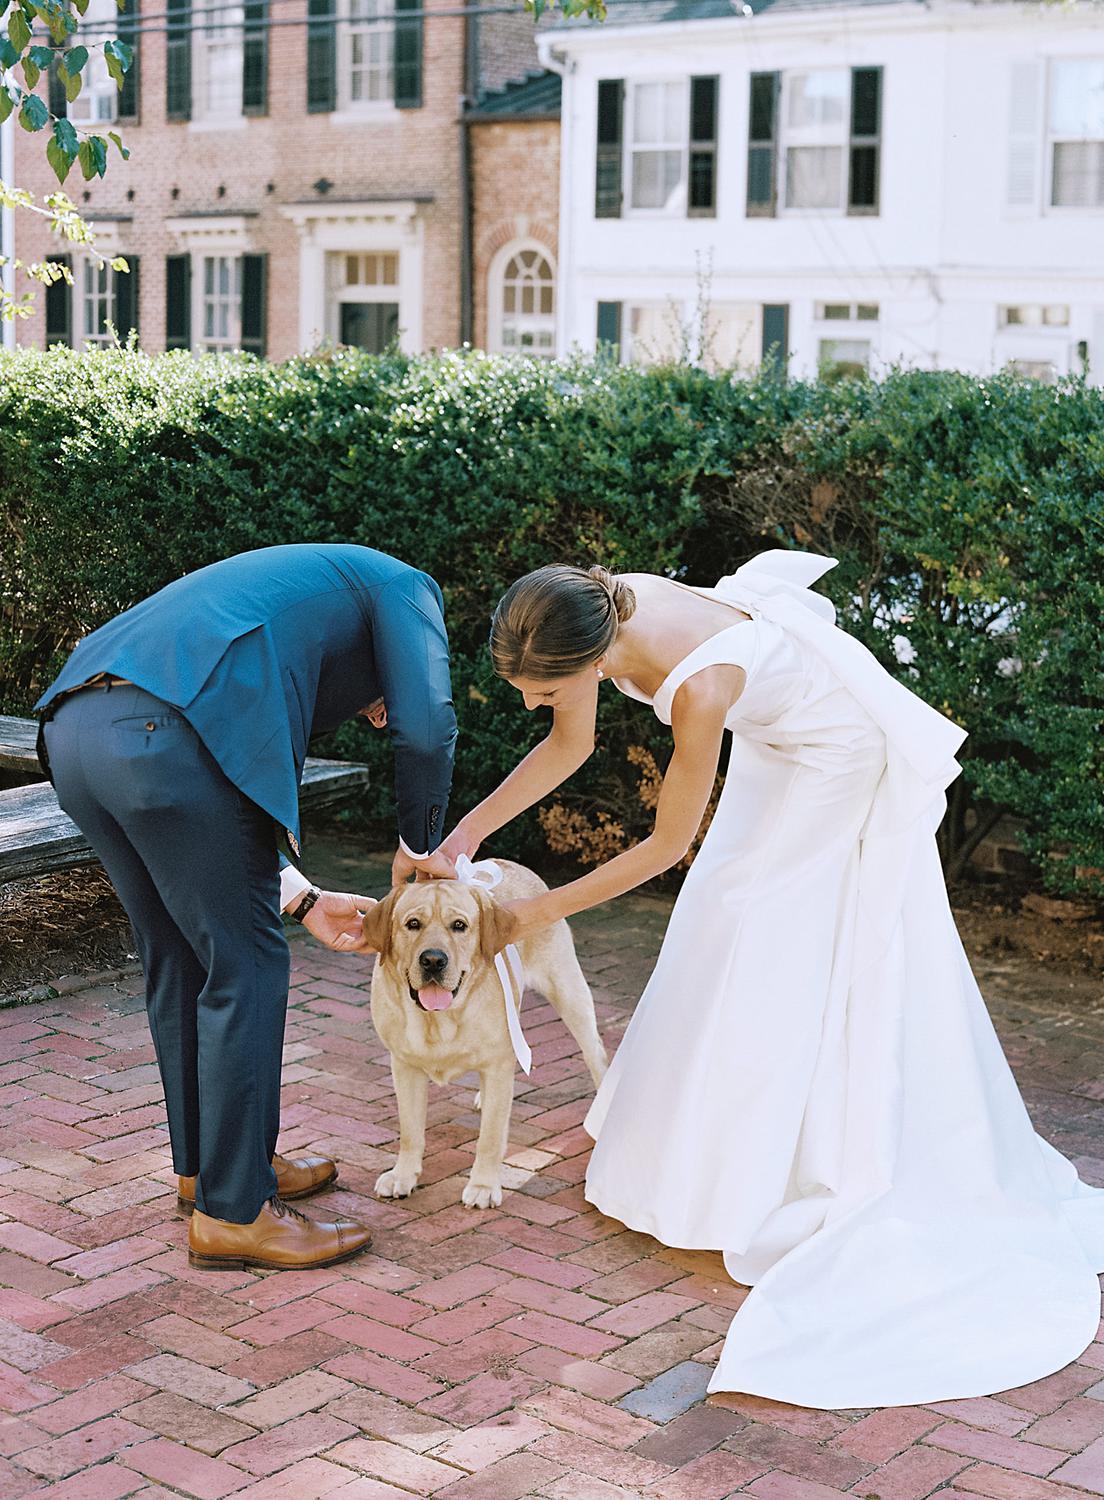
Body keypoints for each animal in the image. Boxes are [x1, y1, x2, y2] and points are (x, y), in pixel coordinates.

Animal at [363, 864, 609, 1200]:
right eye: (413, 924)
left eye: (459, 926)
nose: (433, 960)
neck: (439, 1020)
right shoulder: (404, 1066)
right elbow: (410, 1131)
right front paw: (403, 1174)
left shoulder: (497, 1065)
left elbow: (490, 1137)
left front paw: (482, 1185)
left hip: (570, 994)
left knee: (596, 1053)